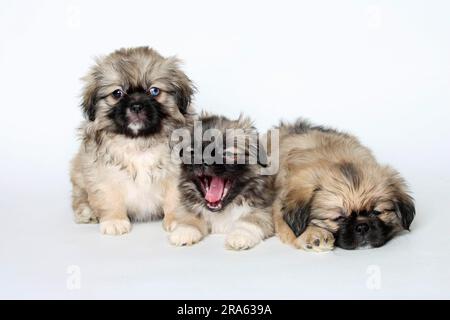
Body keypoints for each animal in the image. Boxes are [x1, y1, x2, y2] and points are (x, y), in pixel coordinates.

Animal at [71, 45, 194, 235]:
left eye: (154, 91)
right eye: (117, 93)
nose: (136, 105)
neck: (138, 142)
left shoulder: (176, 175)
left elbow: (174, 199)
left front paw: (177, 220)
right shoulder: (102, 174)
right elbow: (110, 199)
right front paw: (115, 220)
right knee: (79, 198)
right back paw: (86, 212)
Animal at [165, 114, 276, 251]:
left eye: (227, 153)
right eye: (192, 153)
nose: (203, 159)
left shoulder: (263, 211)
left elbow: (249, 221)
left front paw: (240, 235)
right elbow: (189, 217)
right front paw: (185, 231)